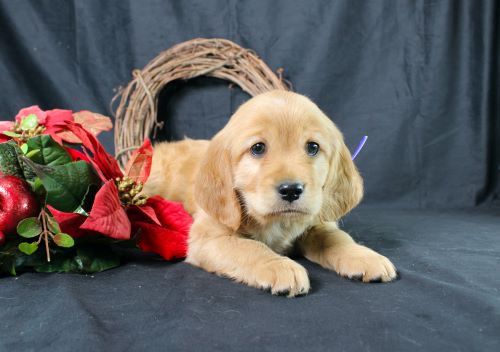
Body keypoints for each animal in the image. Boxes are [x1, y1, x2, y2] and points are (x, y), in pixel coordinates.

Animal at [145, 89, 398, 296]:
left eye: (313, 147)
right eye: (258, 148)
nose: (291, 190)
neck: (278, 223)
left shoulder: (317, 222)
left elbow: (337, 238)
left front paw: (362, 255)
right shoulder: (207, 237)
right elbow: (250, 247)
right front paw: (278, 265)